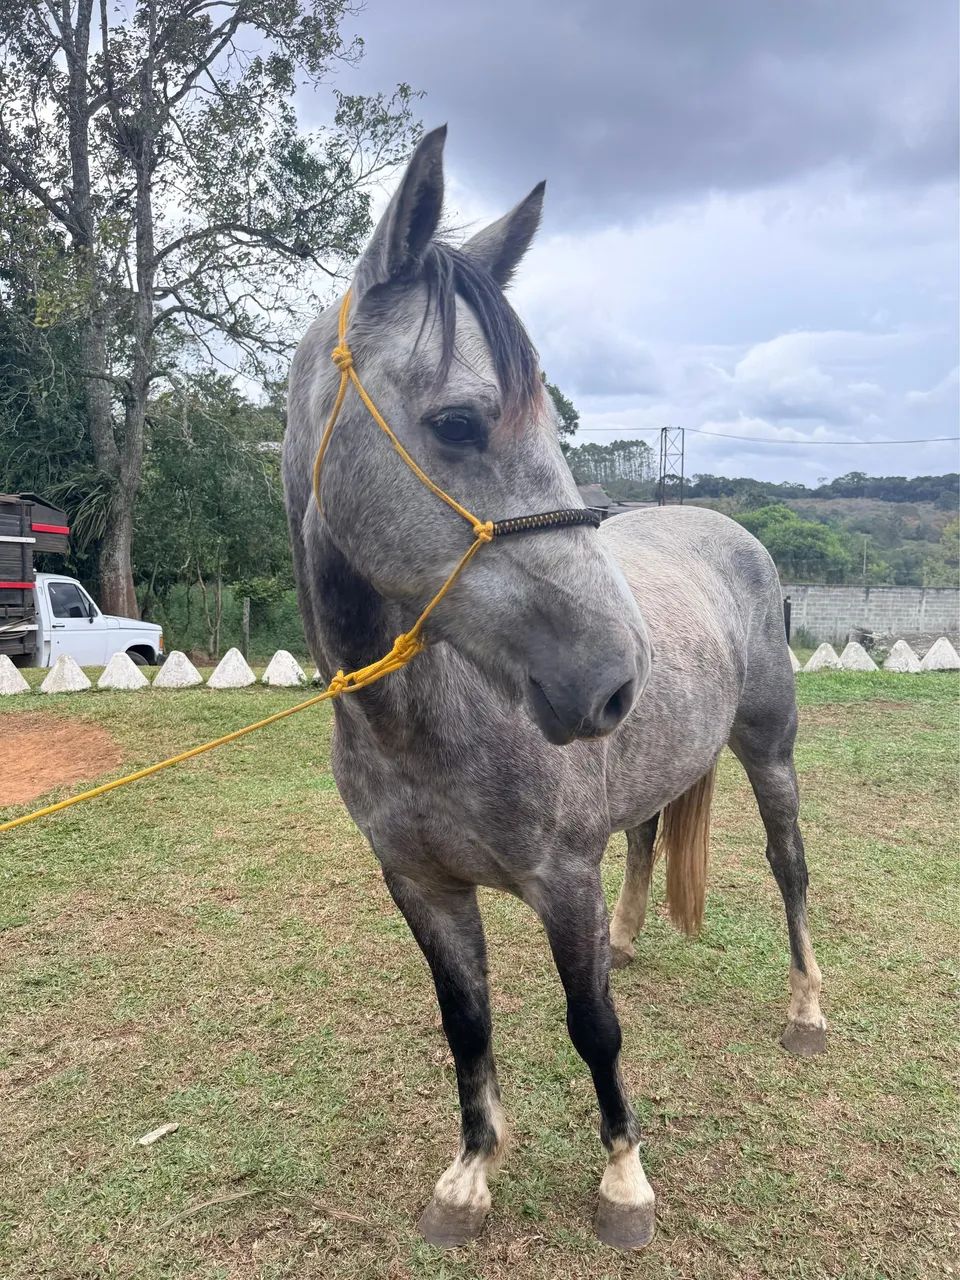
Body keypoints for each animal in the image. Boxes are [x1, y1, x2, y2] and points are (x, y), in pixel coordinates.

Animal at [282, 126, 826, 1252]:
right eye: (458, 421)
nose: (617, 679)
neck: (428, 721)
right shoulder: (421, 885)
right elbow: (467, 1022)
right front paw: (469, 1172)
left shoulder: (560, 879)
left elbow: (593, 1026)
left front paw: (624, 1180)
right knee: (650, 834)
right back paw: (632, 936)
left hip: (771, 752)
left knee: (790, 868)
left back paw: (806, 1010)